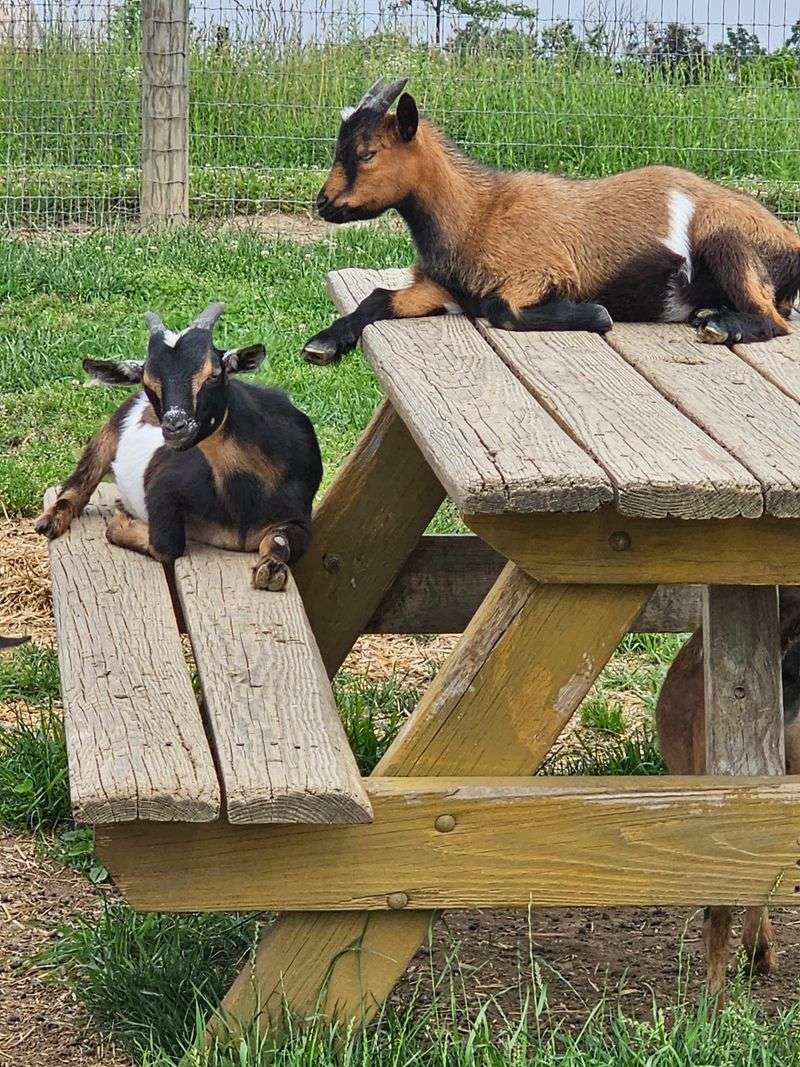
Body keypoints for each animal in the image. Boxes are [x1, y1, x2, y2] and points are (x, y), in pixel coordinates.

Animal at [35, 304, 322, 591]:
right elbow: (166, 545)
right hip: (107, 435)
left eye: (214, 375)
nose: (175, 426)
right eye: (148, 383)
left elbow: (280, 542)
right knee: (80, 482)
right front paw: (121, 524)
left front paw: (270, 569)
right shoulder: (164, 486)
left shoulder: (300, 517)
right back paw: (50, 521)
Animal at [303, 77, 800, 364]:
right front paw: (323, 342)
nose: (323, 203)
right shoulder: (442, 289)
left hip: (729, 241)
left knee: (774, 319)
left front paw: (596, 313)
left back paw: (720, 326)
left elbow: (502, 309)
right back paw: (709, 313)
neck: (477, 214)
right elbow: (376, 297)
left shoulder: (541, 272)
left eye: (367, 153)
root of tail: (789, 244)